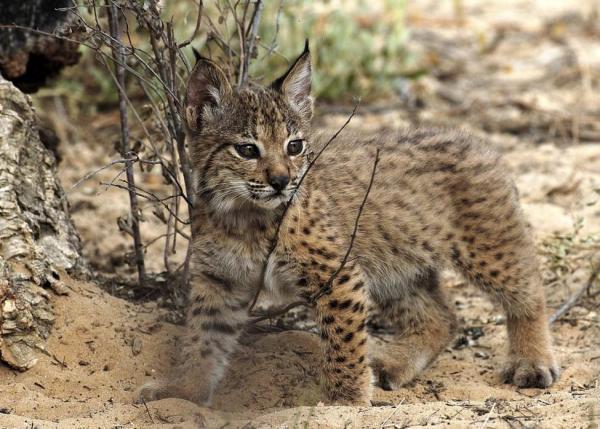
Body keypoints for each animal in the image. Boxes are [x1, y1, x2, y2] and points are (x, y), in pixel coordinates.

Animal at [138, 43, 560, 404]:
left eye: (295, 146)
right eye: (246, 150)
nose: (282, 181)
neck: (243, 212)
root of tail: (471, 138)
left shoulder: (337, 274)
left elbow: (343, 344)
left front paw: (346, 402)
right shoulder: (219, 279)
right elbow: (203, 338)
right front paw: (185, 390)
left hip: (488, 246)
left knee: (529, 291)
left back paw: (532, 361)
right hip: (394, 265)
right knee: (442, 318)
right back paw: (392, 364)